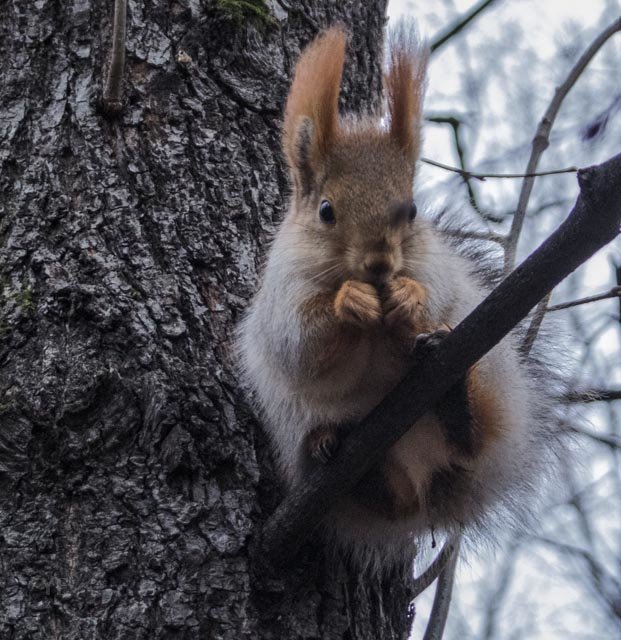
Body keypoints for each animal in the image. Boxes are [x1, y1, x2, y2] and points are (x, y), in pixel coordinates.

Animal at [235, 22, 560, 568]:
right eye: (326, 211)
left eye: (411, 211)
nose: (380, 264)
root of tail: (429, 486)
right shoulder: (282, 297)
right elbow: (302, 344)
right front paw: (350, 303)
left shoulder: (437, 268)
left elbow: (435, 294)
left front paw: (408, 296)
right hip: (307, 431)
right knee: (393, 498)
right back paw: (341, 453)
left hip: (490, 380)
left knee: (472, 441)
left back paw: (454, 403)